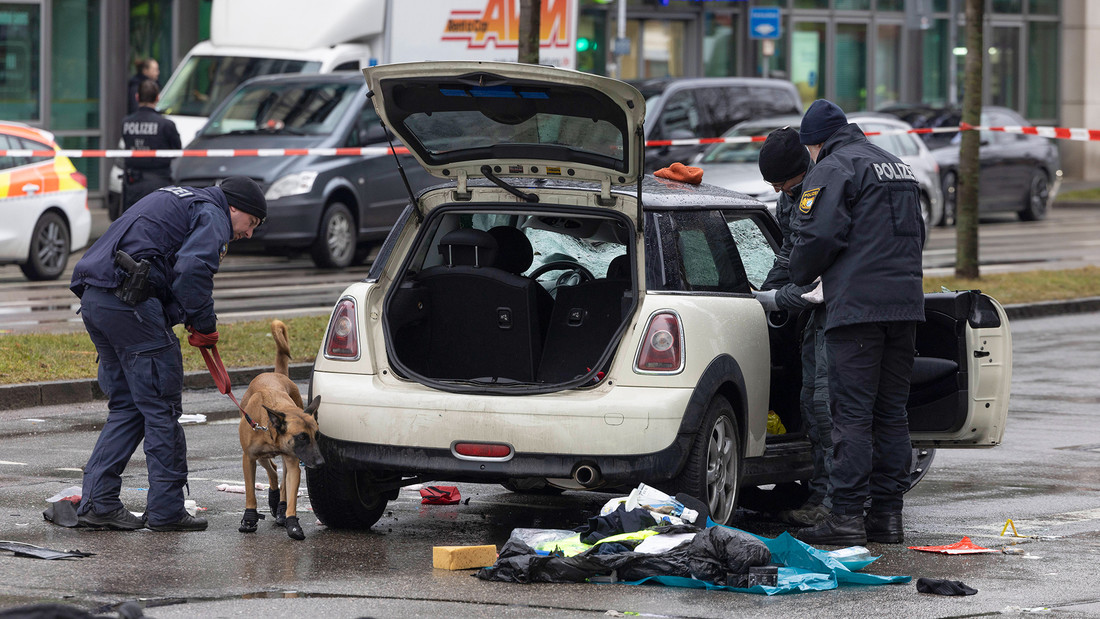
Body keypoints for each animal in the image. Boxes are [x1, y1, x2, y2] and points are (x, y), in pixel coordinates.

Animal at [238, 323, 323, 540]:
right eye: (302, 437)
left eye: (316, 436)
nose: (320, 463)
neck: (270, 428)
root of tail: (277, 374)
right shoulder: (248, 458)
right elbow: (250, 492)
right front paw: (249, 518)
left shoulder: (293, 462)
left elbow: (291, 491)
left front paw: (291, 522)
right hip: (259, 457)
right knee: (273, 471)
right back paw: (273, 499)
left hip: (284, 461)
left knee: (280, 476)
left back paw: (280, 508)